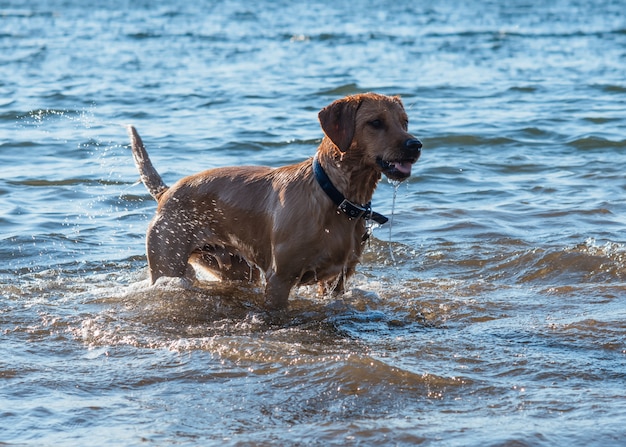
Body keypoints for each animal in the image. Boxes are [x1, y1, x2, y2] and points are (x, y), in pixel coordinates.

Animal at [126, 93, 420, 312]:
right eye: (376, 122)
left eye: (404, 122)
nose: (416, 144)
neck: (335, 197)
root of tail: (166, 193)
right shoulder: (279, 278)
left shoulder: (337, 282)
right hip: (168, 264)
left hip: (237, 269)